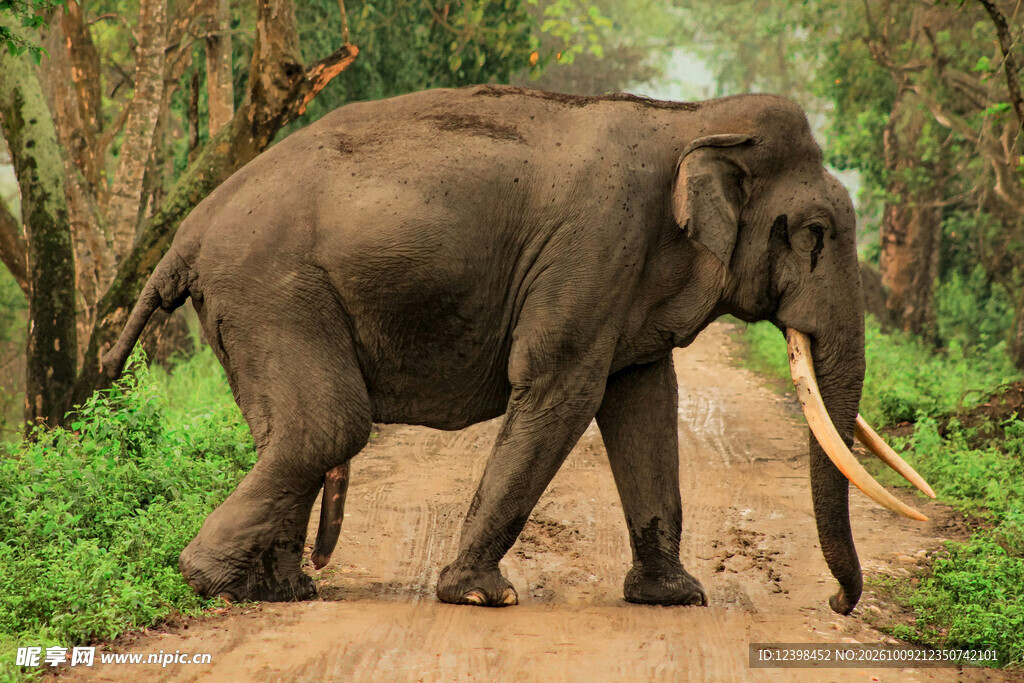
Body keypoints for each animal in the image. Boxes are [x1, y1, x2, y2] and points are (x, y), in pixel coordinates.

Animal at [104, 84, 930, 615]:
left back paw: (278, 590)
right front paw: (477, 594)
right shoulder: (594, 245)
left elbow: (643, 398)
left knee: (296, 433)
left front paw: (676, 597)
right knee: (327, 427)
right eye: (816, 233)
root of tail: (185, 236)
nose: (839, 602)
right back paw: (212, 581)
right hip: (273, 291)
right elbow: (564, 388)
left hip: (252, 306)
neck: (692, 121)